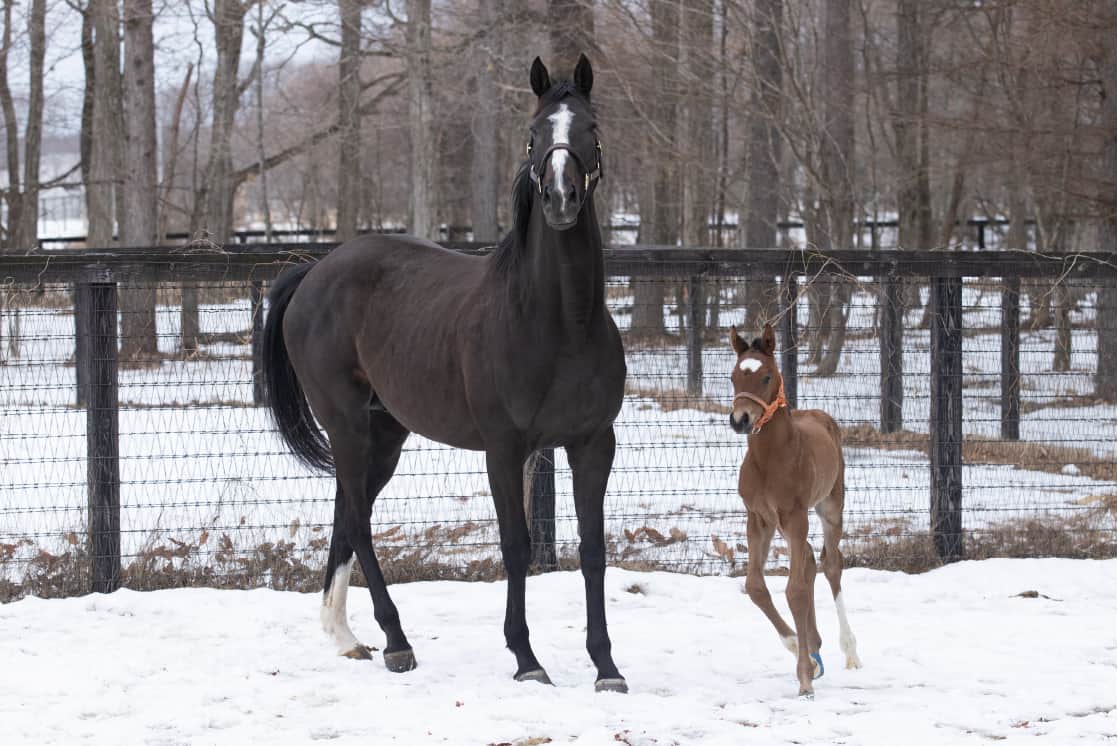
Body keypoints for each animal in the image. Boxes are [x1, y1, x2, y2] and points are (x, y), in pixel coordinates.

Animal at [262, 55, 630, 693]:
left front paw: (606, 666)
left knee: (345, 512)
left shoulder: (592, 444)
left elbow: (593, 549)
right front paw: (526, 659)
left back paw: (346, 637)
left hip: (385, 433)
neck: (558, 323)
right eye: (533, 134)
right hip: (346, 425)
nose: (560, 198)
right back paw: (395, 642)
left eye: (590, 129)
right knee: (359, 520)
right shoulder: (504, 449)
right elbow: (516, 545)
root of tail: (314, 273)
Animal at [728, 324, 858, 697]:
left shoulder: (795, 516)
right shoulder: (759, 518)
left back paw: (849, 649)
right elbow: (757, 586)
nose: (740, 420)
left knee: (831, 564)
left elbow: (796, 590)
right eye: (733, 377)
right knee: (812, 560)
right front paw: (801, 652)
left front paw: (804, 679)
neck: (771, 459)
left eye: (767, 376)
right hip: (784, 524)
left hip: (830, 506)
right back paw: (814, 646)